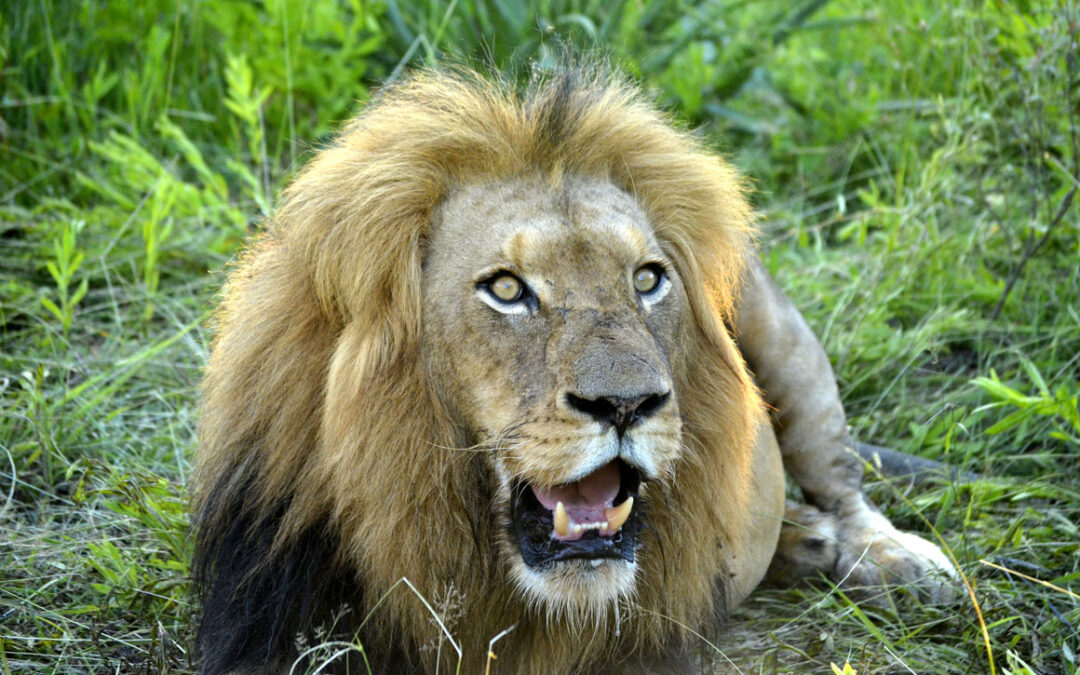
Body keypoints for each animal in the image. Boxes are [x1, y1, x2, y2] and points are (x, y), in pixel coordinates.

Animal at [193, 65, 957, 674]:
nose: (626, 404)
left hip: (785, 336)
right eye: (506, 289)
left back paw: (898, 563)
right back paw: (805, 544)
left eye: (648, 279)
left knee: (841, 477)